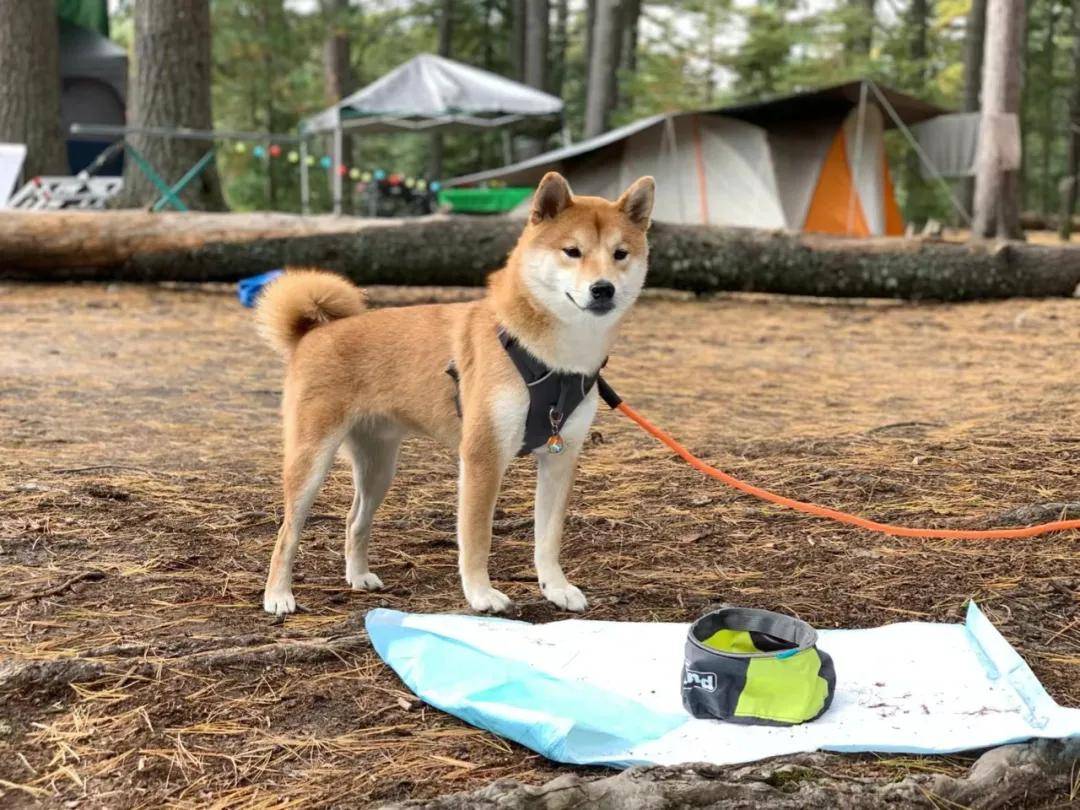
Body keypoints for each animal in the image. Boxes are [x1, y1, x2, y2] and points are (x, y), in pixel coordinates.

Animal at [257, 171, 652, 613]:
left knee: (354, 519)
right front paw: (480, 593)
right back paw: (278, 595)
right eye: (572, 251)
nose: (603, 289)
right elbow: (477, 538)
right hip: (311, 461)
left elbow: (548, 540)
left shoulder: (560, 456)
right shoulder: (482, 456)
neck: (552, 357)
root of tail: (312, 333)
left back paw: (358, 576)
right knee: (287, 533)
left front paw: (556, 587)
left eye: (620, 254)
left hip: (379, 466)